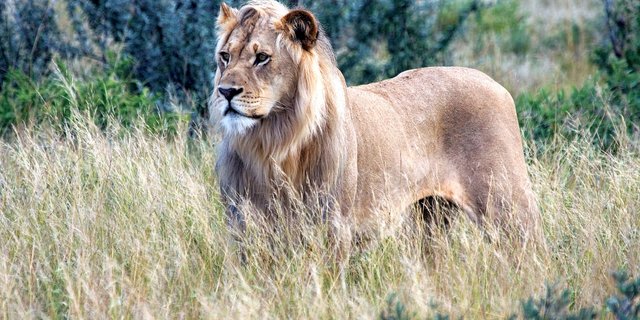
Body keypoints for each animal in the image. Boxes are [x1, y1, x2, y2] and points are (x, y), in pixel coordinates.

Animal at [212, 0, 544, 245]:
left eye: (262, 58)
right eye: (225, 56)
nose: (225, 91)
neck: (272, 141)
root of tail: (495, 82)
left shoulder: (333, 224)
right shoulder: (242, 225)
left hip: (508, 207)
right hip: (430, 218)